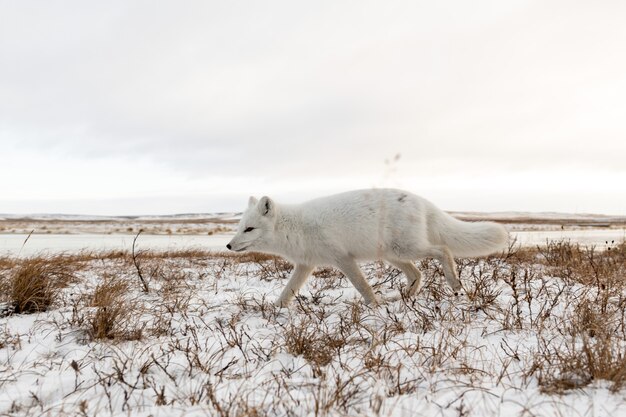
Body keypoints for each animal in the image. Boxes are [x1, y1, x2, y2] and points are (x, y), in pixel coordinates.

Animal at [225, 188, 508, 306]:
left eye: (249, 229)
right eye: (240, 227)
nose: (228, 245)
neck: (295, 228)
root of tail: (421, 200)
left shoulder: (342, 258)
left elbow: (362, 285)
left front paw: (373, 305)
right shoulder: (306, 265)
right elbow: (287, 291)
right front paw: (274, 309)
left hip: (406, 248)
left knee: (442, 250)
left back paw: (454, 283)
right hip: (394, 254)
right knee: (418, 274)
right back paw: (403, 298)